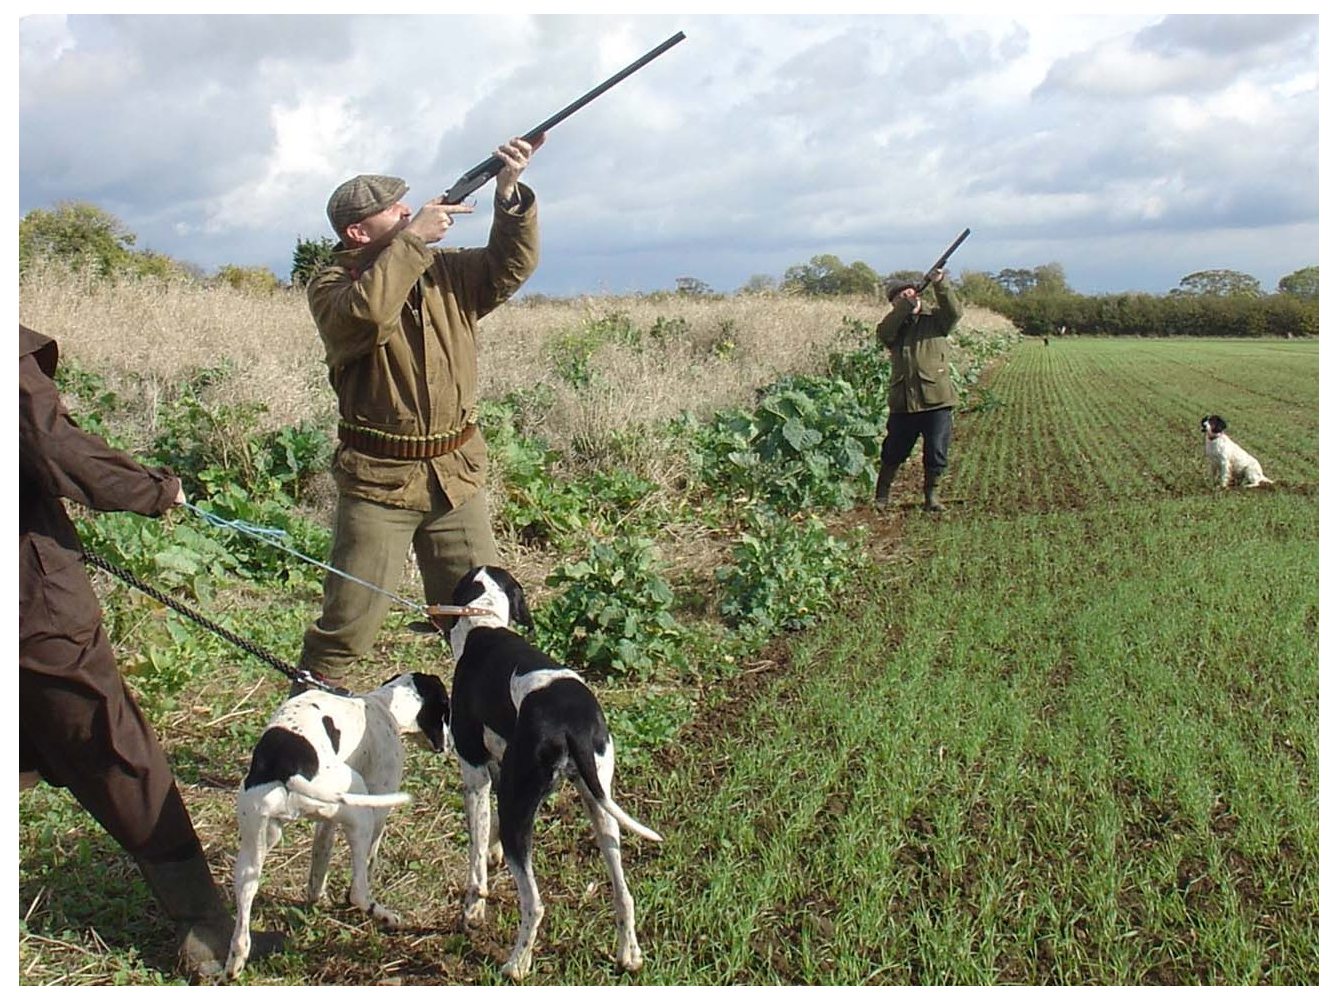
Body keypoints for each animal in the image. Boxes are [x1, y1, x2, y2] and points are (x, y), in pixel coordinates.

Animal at [222, 671, 447, 979]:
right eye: (447, 710)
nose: (448, 745)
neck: (381, 705)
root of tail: (289, 768)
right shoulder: (378, 807)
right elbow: (369, 862)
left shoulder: (326, 824)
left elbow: (320, 860)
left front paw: (316, 898)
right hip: (360, 810)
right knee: (359, 892)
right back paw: (383, 914)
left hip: (253, 850)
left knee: (243, 914)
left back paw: (234, 963)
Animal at [439, 567, 664, 979]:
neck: (484, 625)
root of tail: (573, 723)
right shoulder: (500, 769)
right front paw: (492, 854)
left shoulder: (475, 773)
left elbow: (475, 859)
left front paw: (473, 910)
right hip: (598, 804)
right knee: (624, 894)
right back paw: (629, 954)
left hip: (523, 808)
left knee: (535, 903)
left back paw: (516, 965)